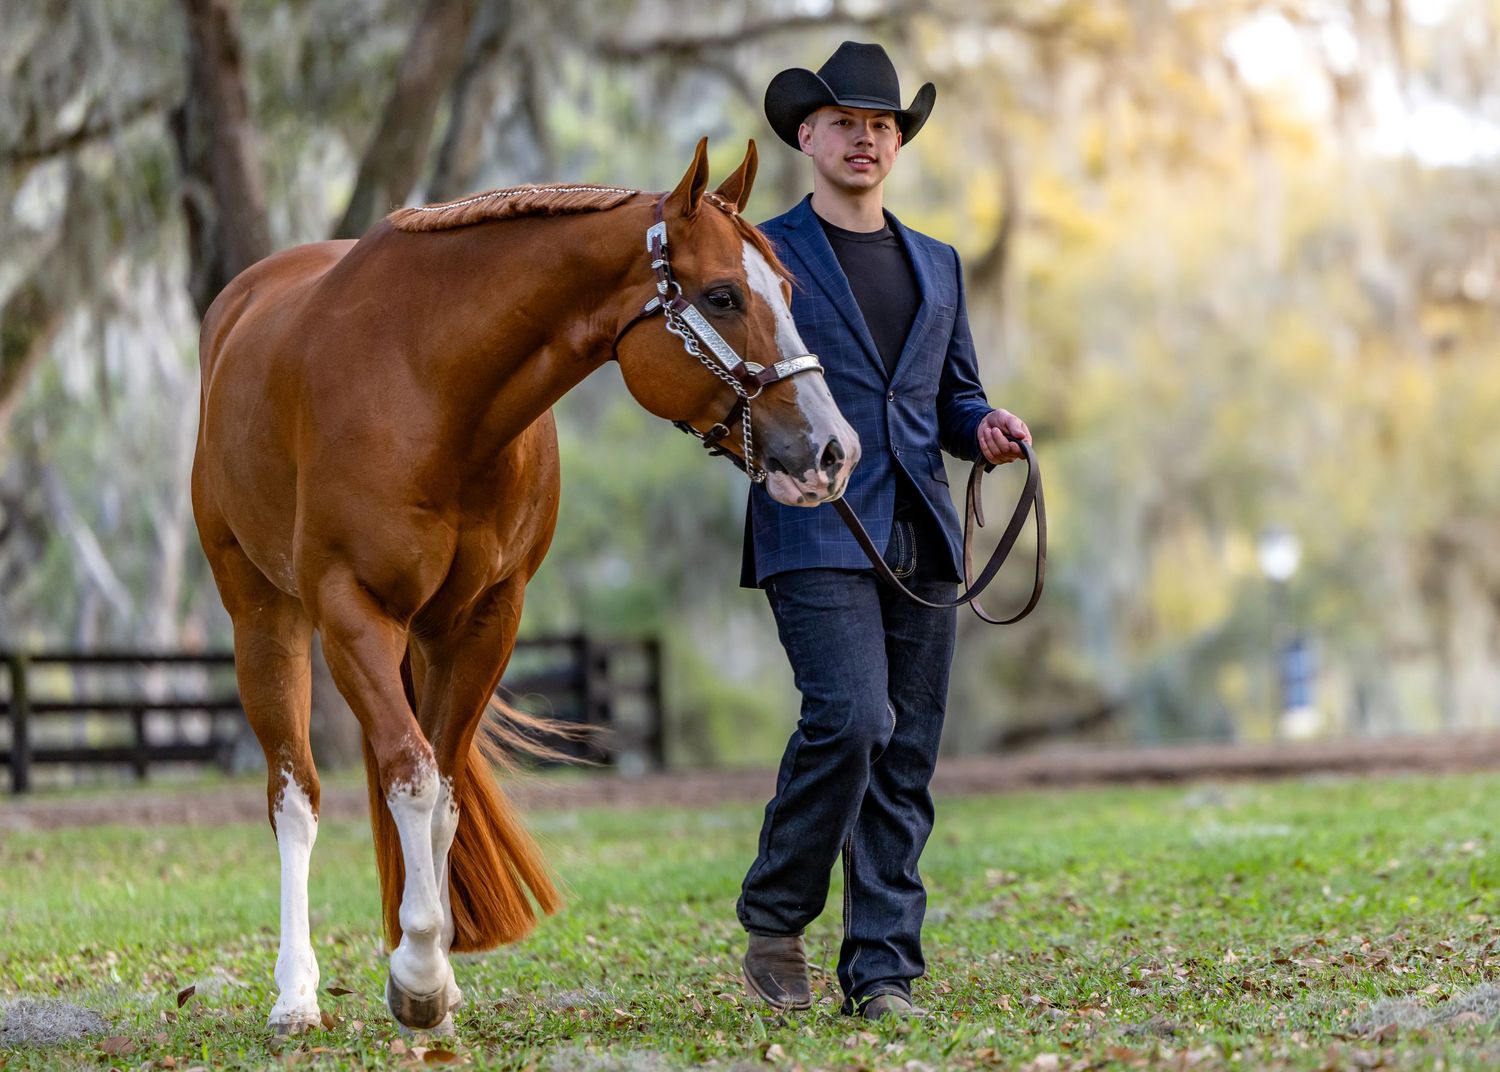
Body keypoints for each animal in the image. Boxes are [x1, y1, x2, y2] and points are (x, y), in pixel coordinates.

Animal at [190, 138, 859, 1036]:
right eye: (723, 295)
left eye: (786, 290)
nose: (833, 449)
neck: (430, 385)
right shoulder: (351, 611)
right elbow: (408, 775)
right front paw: (418, 974)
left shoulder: (484, 620)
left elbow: (441, 793)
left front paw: (429, 971)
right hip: (265, 616)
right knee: (294, 797)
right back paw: (295, 994)